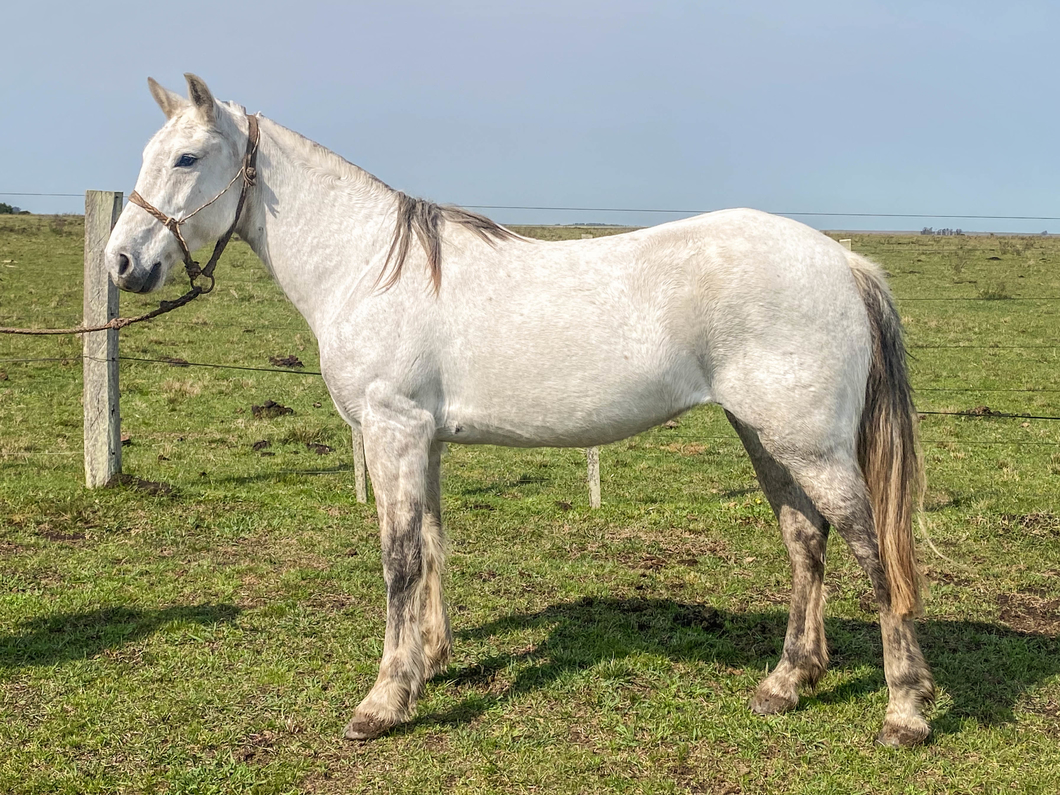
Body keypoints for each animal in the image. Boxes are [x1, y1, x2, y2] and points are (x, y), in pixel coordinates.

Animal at [105, 73, 937, 746]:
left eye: (186, 159)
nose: (121, 264)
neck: (370, 268)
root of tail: (840, 259)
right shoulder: (423, 441)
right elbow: (432, 543)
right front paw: (429, 664)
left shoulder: (392, 432)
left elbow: (398, 559)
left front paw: (382, 700)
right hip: (768, 436)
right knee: (806, 541)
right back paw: (787, 681)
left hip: (812, 446)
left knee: (875, 554)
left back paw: (904, 710)